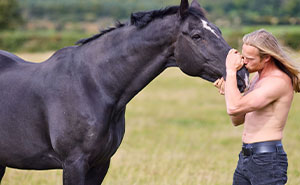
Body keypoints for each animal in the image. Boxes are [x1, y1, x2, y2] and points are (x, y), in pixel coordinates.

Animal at [0, 0, 248, 184]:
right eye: (197, 36)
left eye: (219, 31)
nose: (242, 74)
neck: (92, 85)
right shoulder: (73, 164)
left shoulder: (100, 164)